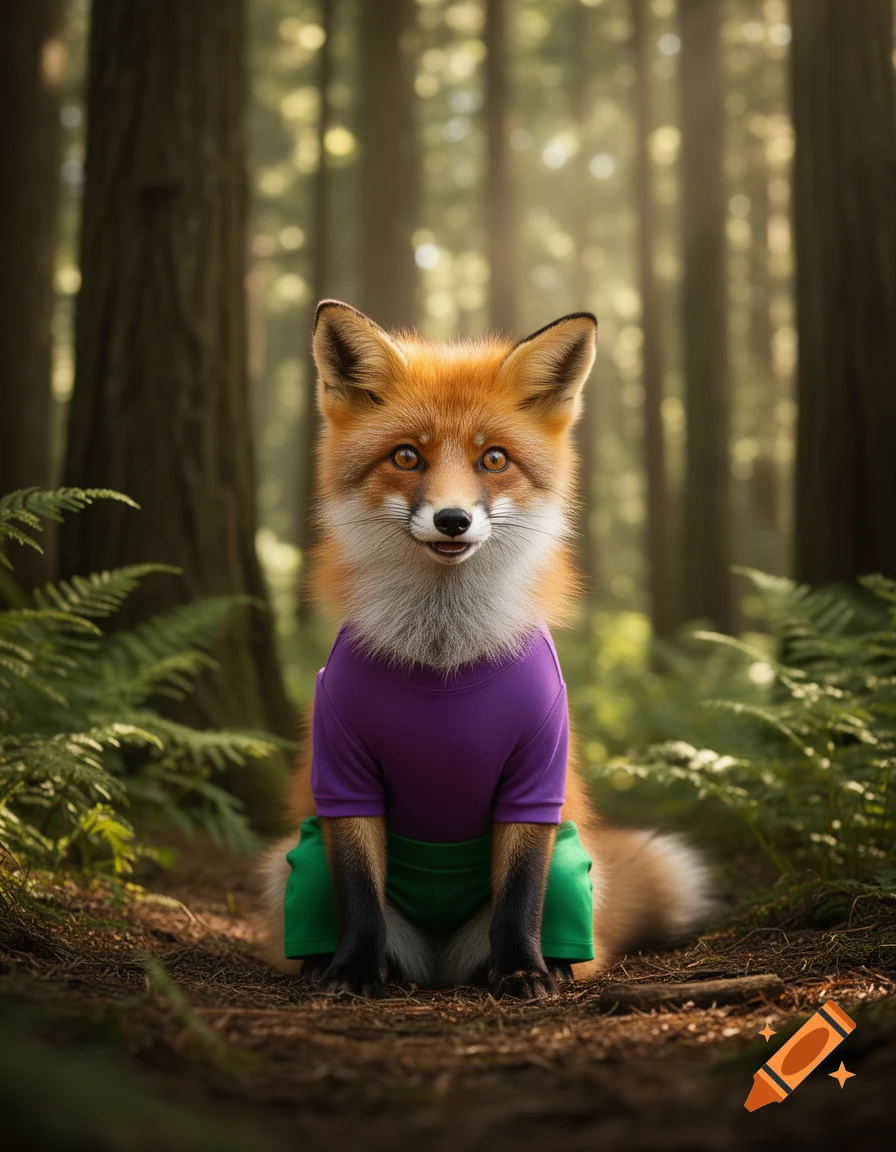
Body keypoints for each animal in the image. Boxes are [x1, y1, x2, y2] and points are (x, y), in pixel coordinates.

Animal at [256, 299, 714, 999]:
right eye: (407, 457)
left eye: (493, 460)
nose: (452, 520)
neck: (443, 658)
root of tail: (440, 965)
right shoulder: (344, 776)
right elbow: (359, 893)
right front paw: (355, 970)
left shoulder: (535, 778)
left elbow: (519, 894)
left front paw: (522, 970)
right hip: (294, 867)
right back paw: (329, 962)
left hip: (572, 868)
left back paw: (548, 964)